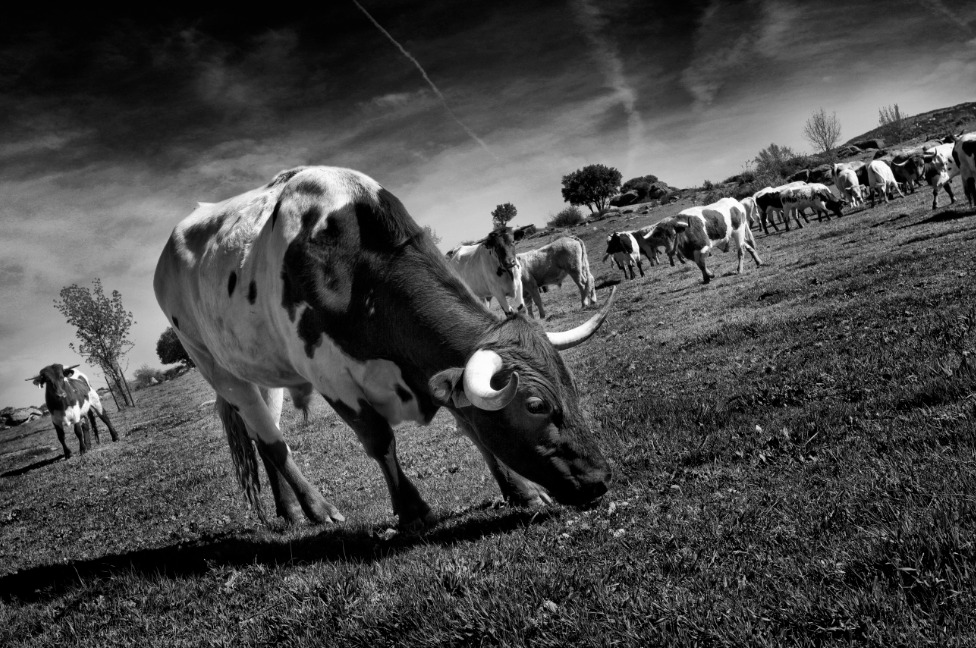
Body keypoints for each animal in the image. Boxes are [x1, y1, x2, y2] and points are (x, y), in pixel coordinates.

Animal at [153, 166, 612, 532]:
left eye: (570, 386)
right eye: (535, 405)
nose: (600, 478)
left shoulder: (434, 372)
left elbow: (470, 422)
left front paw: (521, 491)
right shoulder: (330, 375)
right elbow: (378, 440)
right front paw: (412, 510)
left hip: (261, 369)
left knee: (265, 433)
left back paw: (292, 511)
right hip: (214, 366)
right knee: (272, 441)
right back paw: (319, 509)